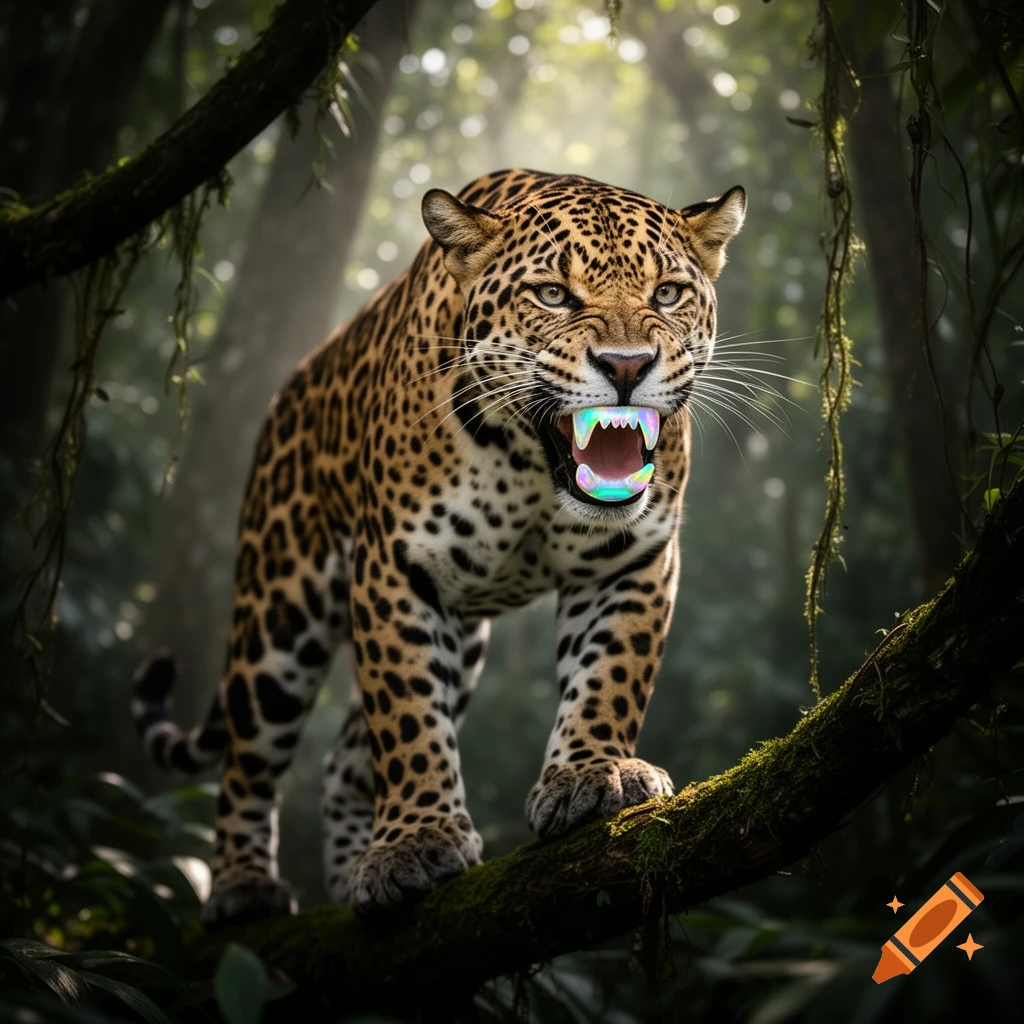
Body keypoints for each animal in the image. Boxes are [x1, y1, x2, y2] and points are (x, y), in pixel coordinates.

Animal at [132, 168, 745, 925]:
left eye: (667, 294)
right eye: (553, 295)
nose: (628, 366)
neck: (529, 468)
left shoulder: (633, 560)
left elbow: (611, 674)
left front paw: (592, 774)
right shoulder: (395, 569)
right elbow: (406, 717)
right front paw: (415, 842)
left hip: (462, 640)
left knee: (343, 761)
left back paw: (345, 875)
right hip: (279, 617)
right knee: (250, 755)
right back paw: (244, 887)